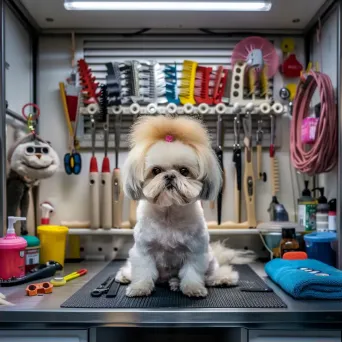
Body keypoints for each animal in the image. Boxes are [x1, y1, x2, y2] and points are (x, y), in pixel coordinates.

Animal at [115, 115, 254, 296]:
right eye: (156, 171)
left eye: (184, 171)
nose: (169, 176)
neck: (169, 213)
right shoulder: (143, 251)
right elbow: (143, 271)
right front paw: (140, 287)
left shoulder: (195, 252)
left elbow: (192, 273)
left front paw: (193, 288)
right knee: (132, 269)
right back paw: (126, 276)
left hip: (210, 260)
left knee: (211, 274)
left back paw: (220, 278)